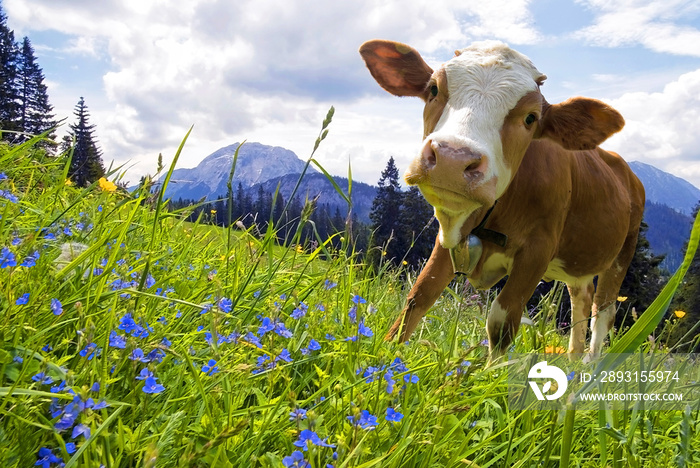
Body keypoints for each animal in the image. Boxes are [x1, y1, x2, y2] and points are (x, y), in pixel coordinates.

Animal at [360, 41, 644, 362]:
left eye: (531, 118)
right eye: (433, 89)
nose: (452, 157)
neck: (492, 214)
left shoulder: (538, 250)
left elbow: (502, 323)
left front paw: (489, 374)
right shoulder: (450, 235)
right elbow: (419, 296)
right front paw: (386, 355)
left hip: (622, 255)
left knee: (602, 315)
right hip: (577, 265)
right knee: (580, 301)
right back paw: (573, 362)